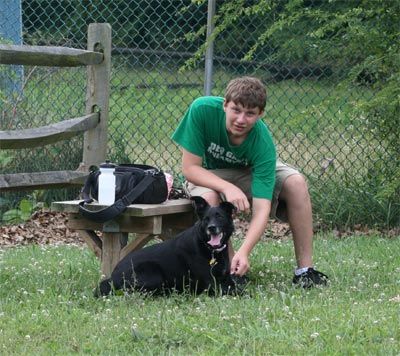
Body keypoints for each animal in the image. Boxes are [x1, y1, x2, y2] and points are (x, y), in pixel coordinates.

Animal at [95, 196, 244, 296]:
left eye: (220, 217)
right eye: (206, 219)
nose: (211, 228)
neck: (212, 251)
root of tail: (113, 275)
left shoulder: (227, 279)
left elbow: (240, 288)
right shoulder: (210, 283)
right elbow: (234, 292)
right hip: (152, 273)